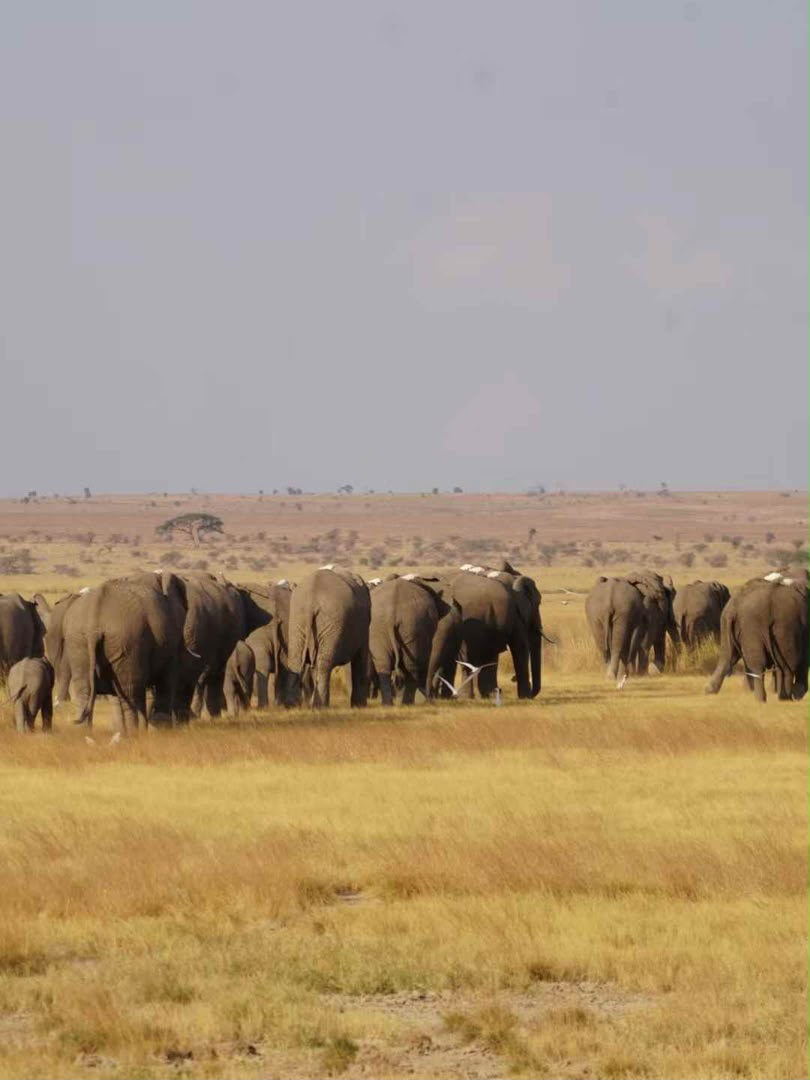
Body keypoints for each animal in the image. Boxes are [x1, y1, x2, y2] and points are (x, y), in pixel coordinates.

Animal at [285, 565, 370, 707]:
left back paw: (293, 705)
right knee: (324, 664)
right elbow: (360, 657)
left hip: (298, 617)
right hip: (332, 620)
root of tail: (312, 600)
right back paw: (320, 706)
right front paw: (359, 706)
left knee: (296, 660)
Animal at [368, 574, 462, 705]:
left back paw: (389, 704)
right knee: (413, 665)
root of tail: (392, 616)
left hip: (380, 626)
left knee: (384, 664)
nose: (430, 700)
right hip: (412, 625)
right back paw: (409, 703)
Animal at [448, 561, 542, 699]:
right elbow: (520, 647)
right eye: (538, 603)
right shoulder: (516, 616)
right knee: (468, 659)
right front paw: (525, 697)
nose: (513, 678)